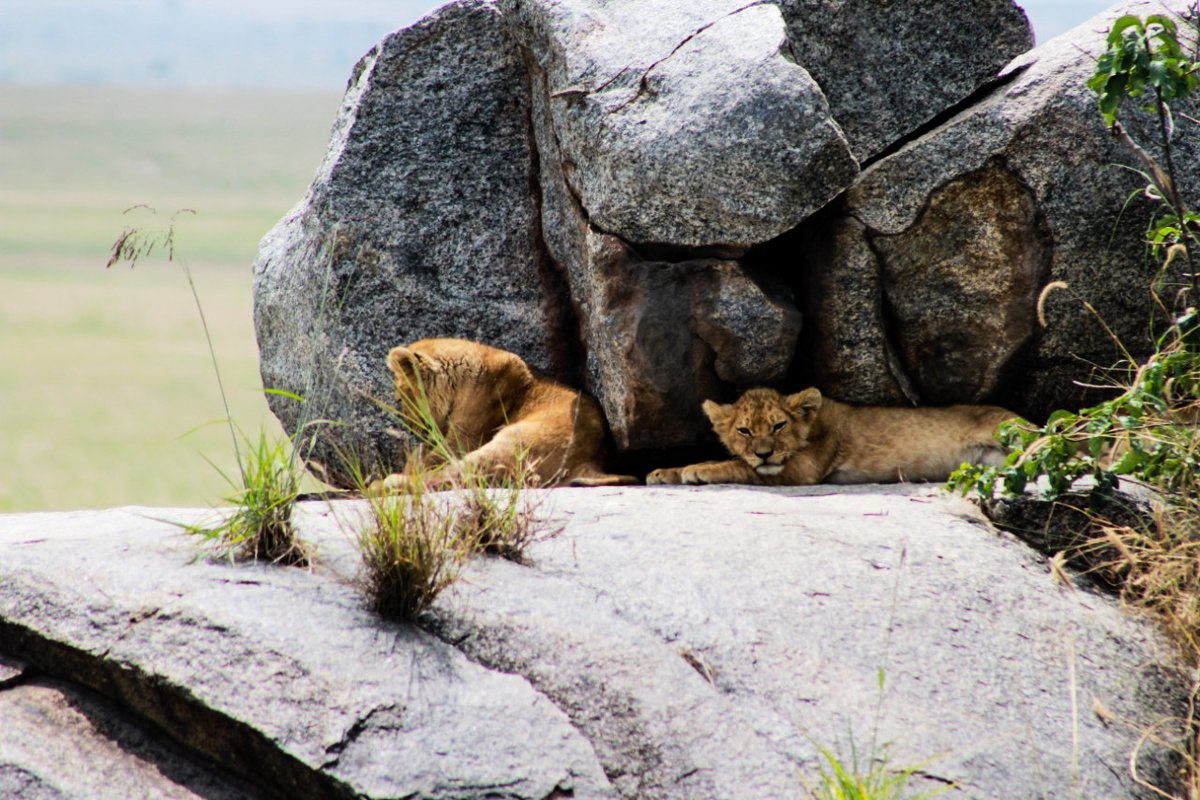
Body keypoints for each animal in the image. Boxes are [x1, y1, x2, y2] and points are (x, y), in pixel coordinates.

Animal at [369, 338, 636, 492]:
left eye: (399, 399)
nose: (409, 428)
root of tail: (589, 462)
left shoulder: (464, 438)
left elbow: (435, 458)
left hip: (510, 444)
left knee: (451, 476)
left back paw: (384, 484)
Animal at [646, 387, 1017, 486]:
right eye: (744, 430)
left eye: (778, 426)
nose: (764, 453)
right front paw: (663, 473)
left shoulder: (803, 470)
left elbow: (738, 467)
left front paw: (698, 469)